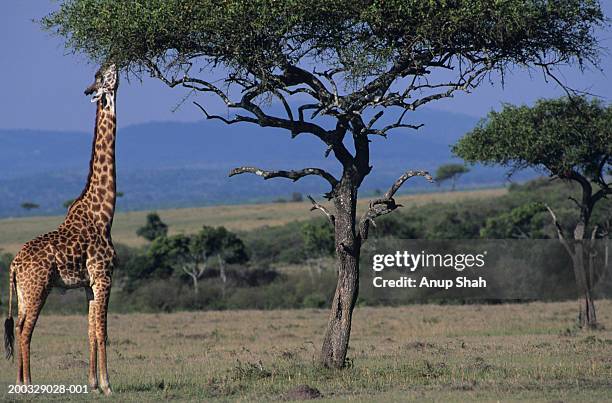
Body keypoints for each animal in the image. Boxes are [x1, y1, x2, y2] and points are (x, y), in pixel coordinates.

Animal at [4, 63, 119, 394]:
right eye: (102, 76)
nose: (115, 64)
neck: (104, 214)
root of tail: (13, 264)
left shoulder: (89, 284)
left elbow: (91, 331)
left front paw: (93, 383)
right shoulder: (104, 277)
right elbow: (103, 331)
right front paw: (108, 385)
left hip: (23, 291)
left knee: (18, 325)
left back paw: (20, 382)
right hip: (37, 288)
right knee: (25, 330)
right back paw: (27, 384)